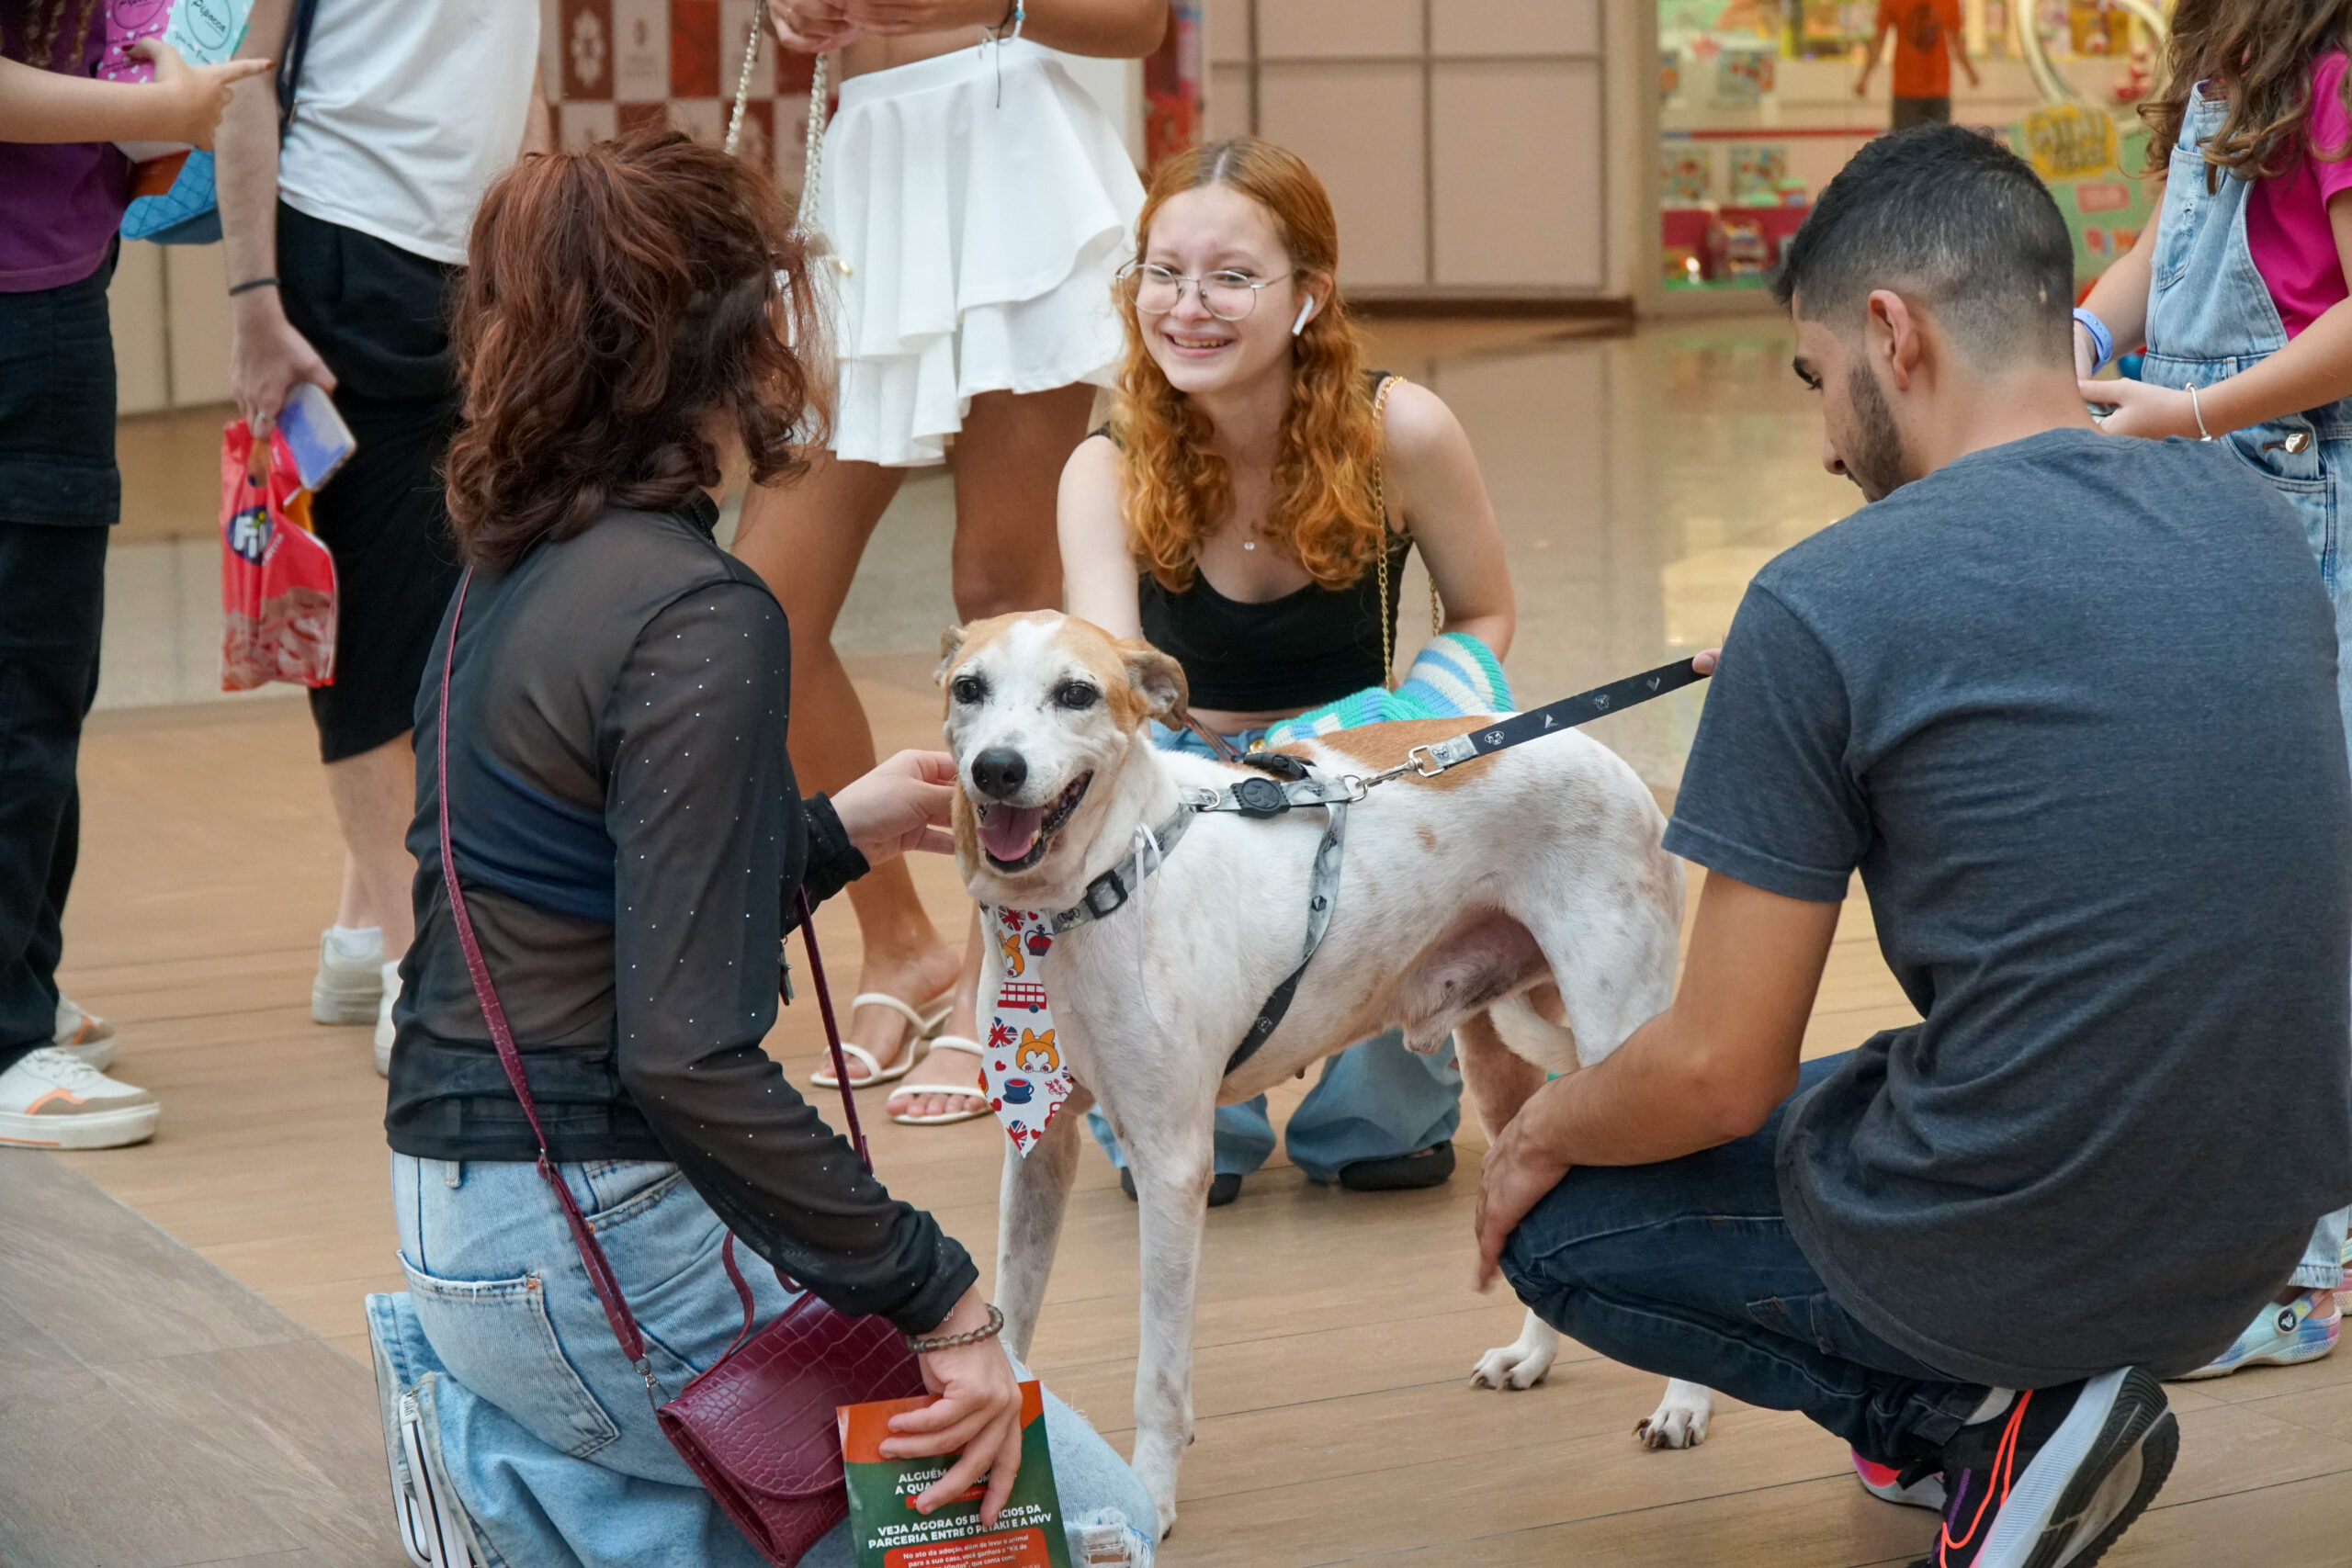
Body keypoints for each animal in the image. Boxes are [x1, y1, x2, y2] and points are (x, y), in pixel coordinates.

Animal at [945, 611, 1721, 1532]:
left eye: (1076, 693)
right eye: (967, 688)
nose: (997, 768)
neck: (1084, 898)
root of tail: (1603, 750)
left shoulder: (1172, 1165)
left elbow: (1158, 1377)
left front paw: (1152, 1494)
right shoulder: (1038, 1149)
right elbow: (1012, 1321)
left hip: (1621, 1043)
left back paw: (1685, 1400)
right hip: (1503, 1069)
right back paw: (1532, 1355)